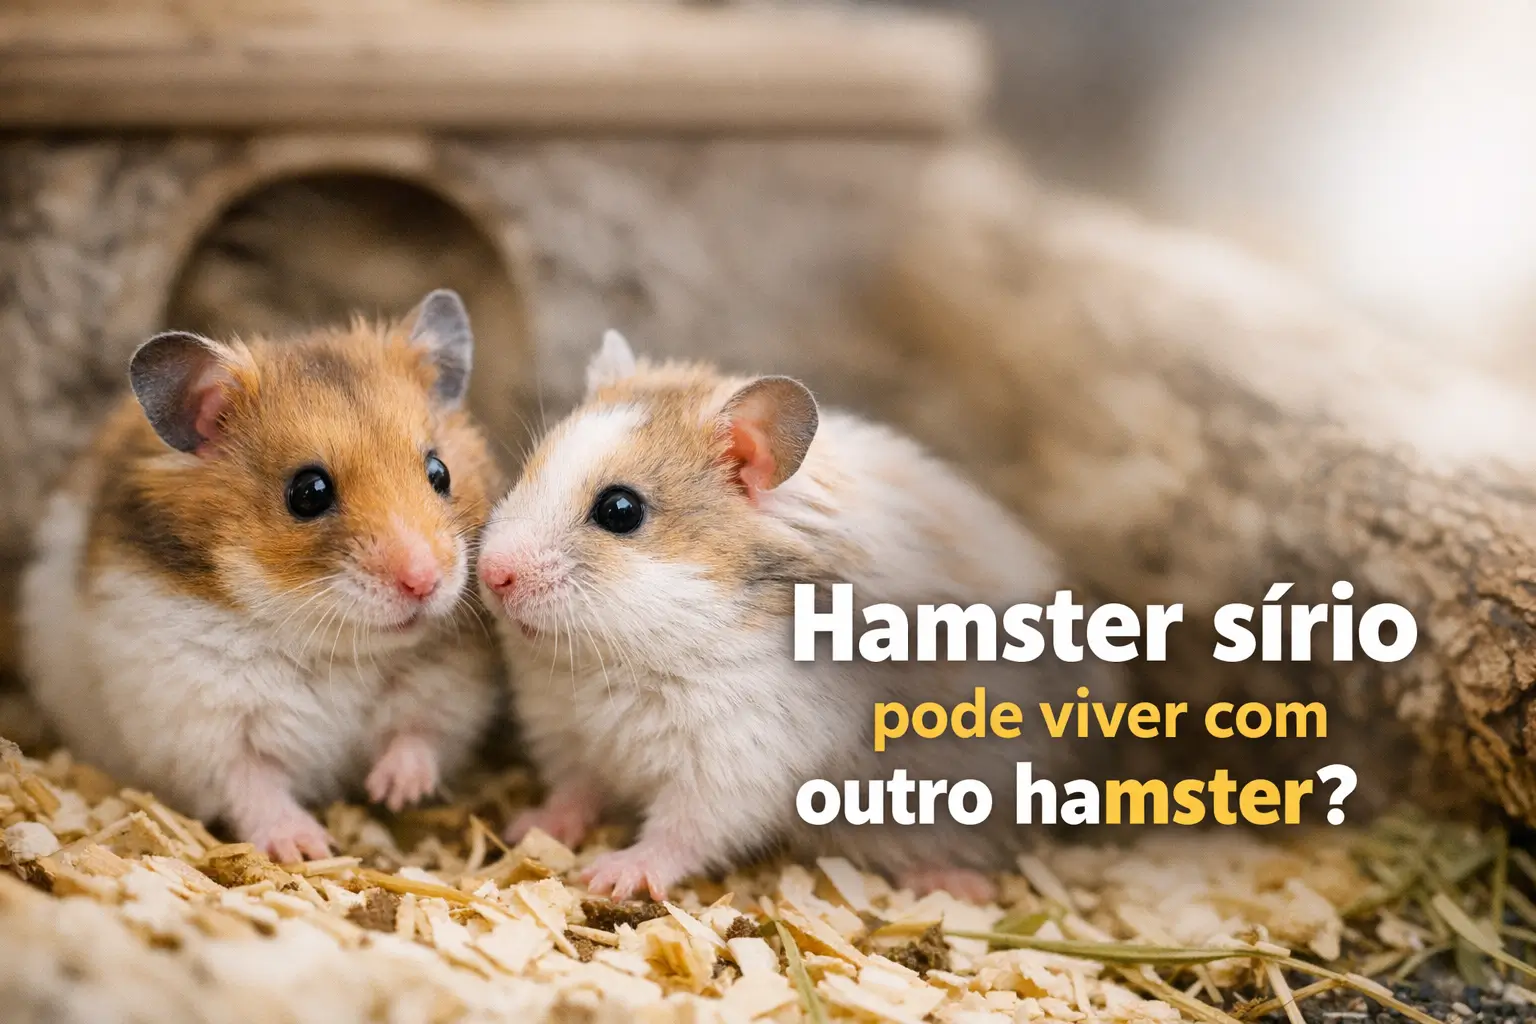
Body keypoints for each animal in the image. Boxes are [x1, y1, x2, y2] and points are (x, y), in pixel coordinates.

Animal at [20, 290, 500, 862]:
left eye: (439, 472)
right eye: (308, 492)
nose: (424, 582)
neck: (335, 647)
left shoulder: (445, 691)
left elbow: (417, 735)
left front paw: (395, 792)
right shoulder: (201, 725)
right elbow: (253, 786)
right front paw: (308, 847)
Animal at [476, 331, 1114, 900]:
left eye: (620, 510)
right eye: (528, 471)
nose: (491, 574)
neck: (624, 660)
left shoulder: (735, 764)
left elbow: (681, 833)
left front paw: (611, 875)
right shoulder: (568, 735)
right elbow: (573, 792)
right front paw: (529, 828)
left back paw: (958, 887)